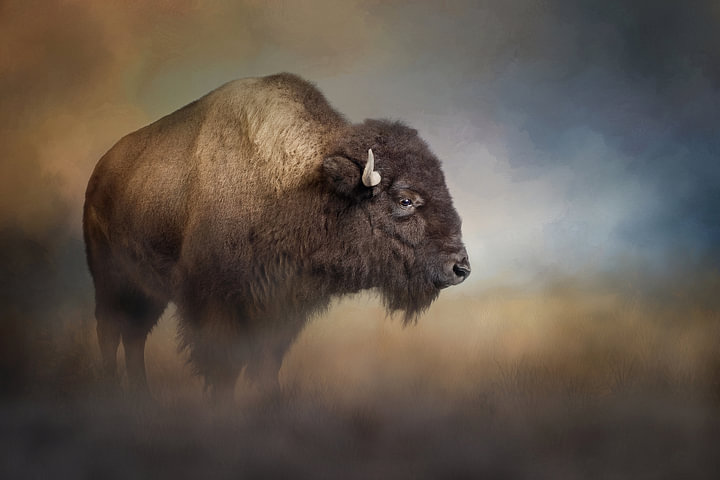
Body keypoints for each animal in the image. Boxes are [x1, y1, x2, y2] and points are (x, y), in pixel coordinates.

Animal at [83, 73, 470, 400]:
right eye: (405, 200)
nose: (460, 268)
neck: (303, 184)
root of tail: (99, 173)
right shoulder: (216, 303)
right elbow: (223, 368)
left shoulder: (281, 307)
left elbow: (265, 366)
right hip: (111, 280)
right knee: (110, 331)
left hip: (147, 292)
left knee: (134, 336)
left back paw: (142, 396)